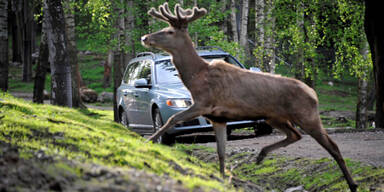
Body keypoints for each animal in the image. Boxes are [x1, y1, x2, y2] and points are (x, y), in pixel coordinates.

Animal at [141, 2, 356, 191]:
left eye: (169, 31)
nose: (145, 37)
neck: (196, 78)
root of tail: (314, 94)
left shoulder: (204, 103)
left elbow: (172, 119)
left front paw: (148, 141)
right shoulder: (218, 118)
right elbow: (221, 152)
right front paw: (222, 178)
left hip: (306, 115)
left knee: (332, 146)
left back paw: (352, 184)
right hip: (275, 117)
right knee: (295, 134)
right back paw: (261, 155)